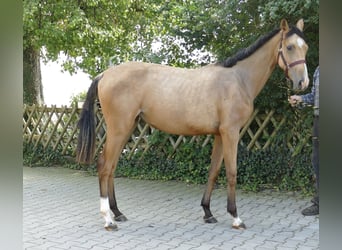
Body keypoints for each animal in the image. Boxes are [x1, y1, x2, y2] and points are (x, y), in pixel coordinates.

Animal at [77, 19, 310, 230]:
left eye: (305, 47)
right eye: (289, 47)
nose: (303, 83)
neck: (238, 79)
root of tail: (105, 74)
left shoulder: (219, 135)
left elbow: (213, 172)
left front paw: (208, 212)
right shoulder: (231, 133)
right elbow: (232, 173)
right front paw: (235, 217)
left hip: (128, 128)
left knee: (112, 166)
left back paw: (117, 212)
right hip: (119, 129)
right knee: (104, 165)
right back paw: (108, 219)